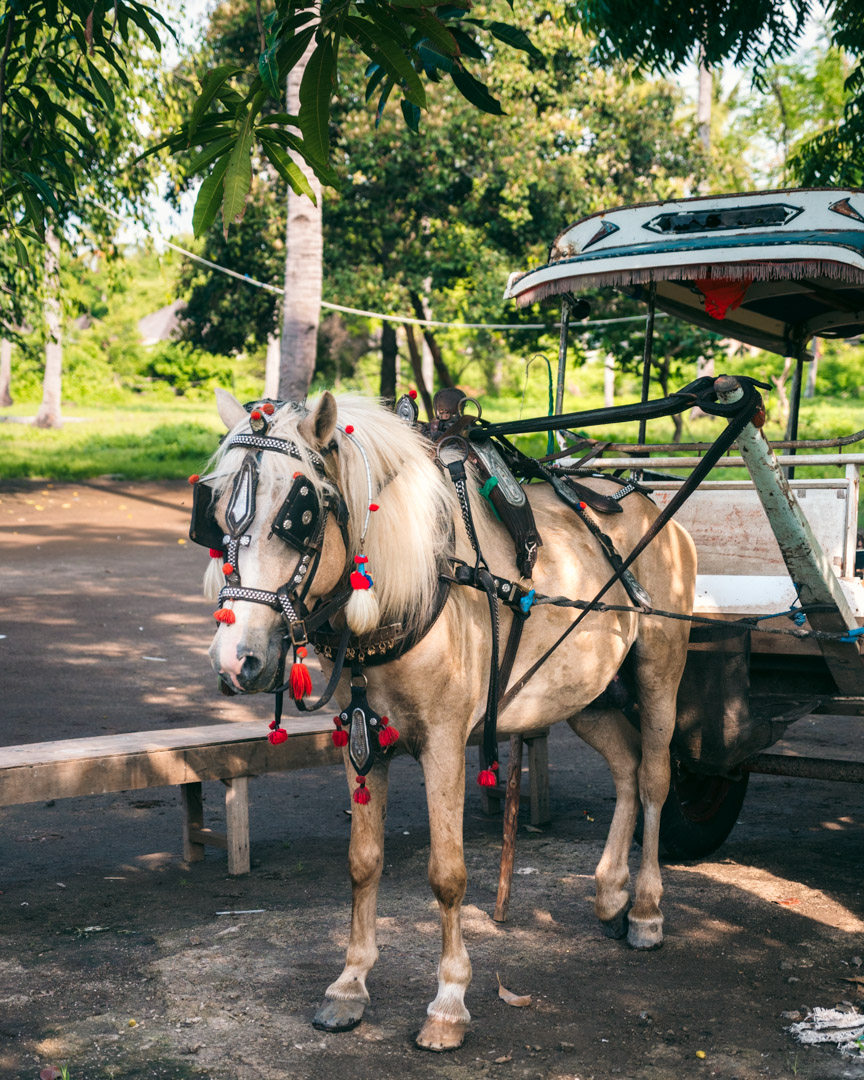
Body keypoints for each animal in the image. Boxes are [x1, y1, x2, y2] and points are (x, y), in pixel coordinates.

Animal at [197, 390, 695, 1054]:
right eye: (217, 516)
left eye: (297, 516)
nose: (236, 659)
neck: (407, 583)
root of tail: (641, 497)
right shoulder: (361, 740)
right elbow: (363, 862)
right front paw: (349, 985)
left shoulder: (444, 743)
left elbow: (447, 874)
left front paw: (450, 1002)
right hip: (583, 692)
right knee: (626, 766)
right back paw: (611, 892)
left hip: (660, 667)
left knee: (654, 778)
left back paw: (644, 908)